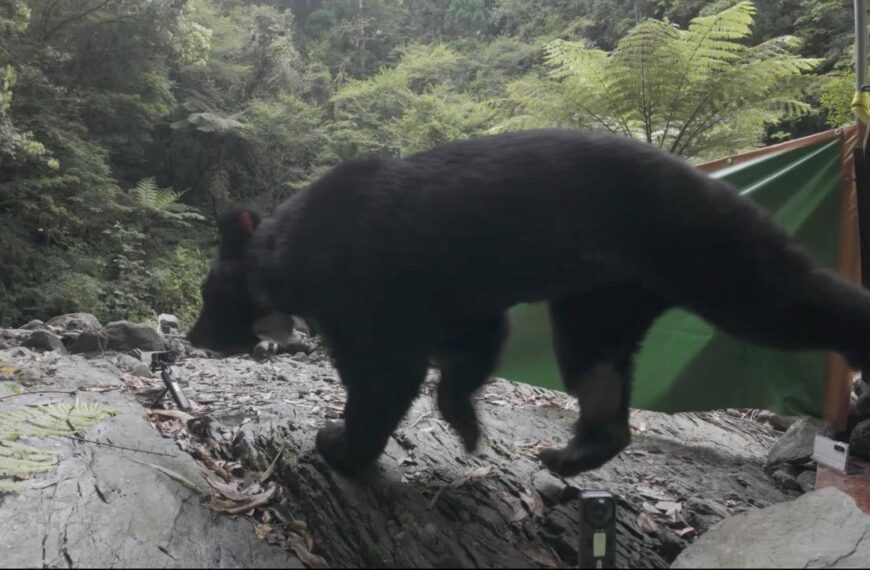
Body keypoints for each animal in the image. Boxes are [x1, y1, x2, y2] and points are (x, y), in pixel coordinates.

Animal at [188, 128, 870, 478]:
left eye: (206, 295)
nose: (194, 336)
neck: (291, 256)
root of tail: (709, 176)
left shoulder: (365, 289)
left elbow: (385, 375)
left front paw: (339, 444)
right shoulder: (454, 293)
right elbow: (474, 342)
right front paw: (466, 425)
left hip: (700, 244)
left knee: (786, 297)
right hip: (600, 296)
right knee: (597, 367)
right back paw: (571, 453)